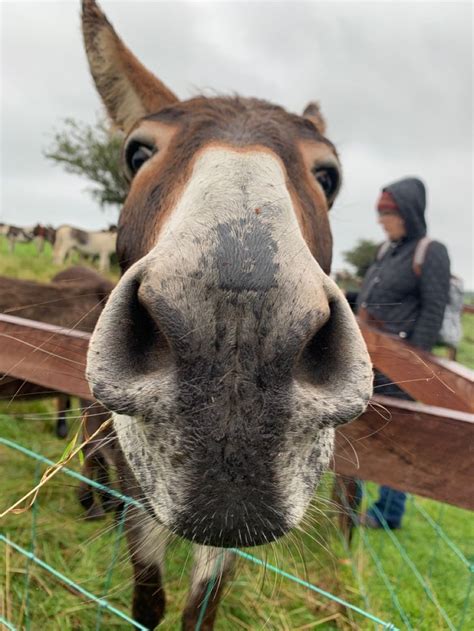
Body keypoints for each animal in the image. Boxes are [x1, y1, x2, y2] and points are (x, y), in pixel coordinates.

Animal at [79, 2, 372, 628]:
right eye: (136, 153)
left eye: (329, 176)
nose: (236, 337)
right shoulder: (140, 483)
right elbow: (149, 595)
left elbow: (202, 606)